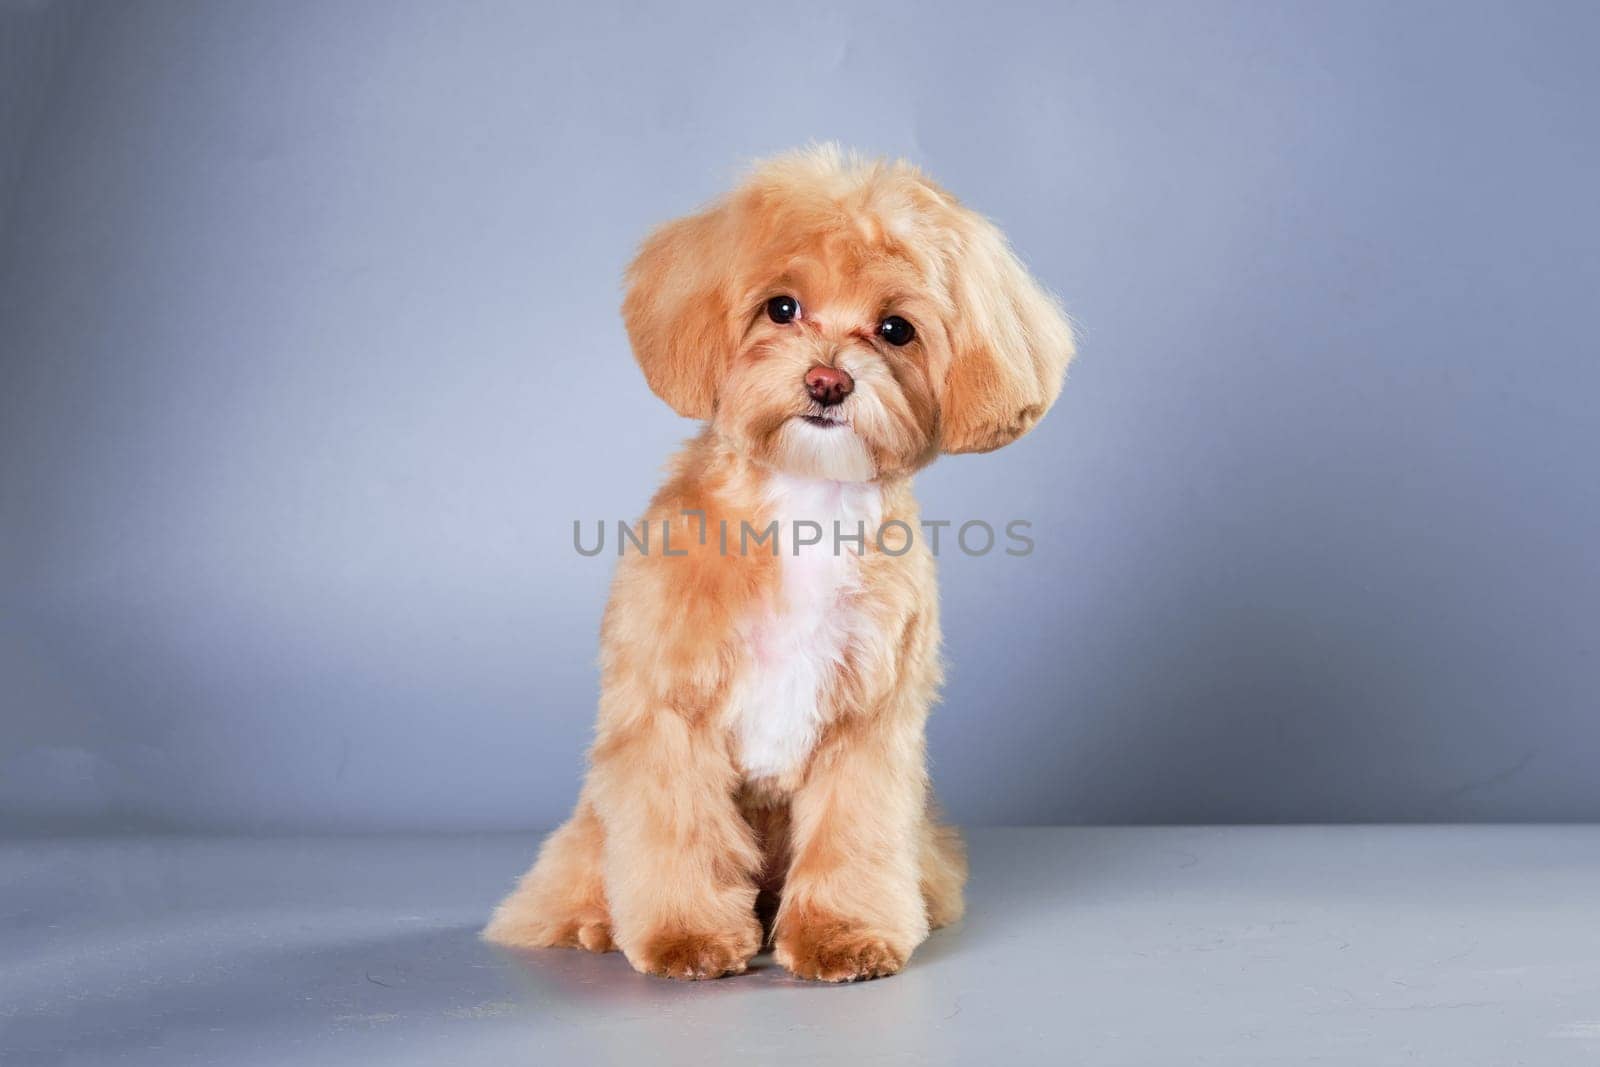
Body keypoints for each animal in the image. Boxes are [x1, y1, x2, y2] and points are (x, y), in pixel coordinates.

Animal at [480, 146, 1068, 979]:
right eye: (781, 308)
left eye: (896, 329)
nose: (828, 381)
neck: (805, 505)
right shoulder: (670, 716)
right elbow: (678, 830)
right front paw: (686, 936)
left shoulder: (867, 727)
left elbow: (853, 832)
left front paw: (843, 932)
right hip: (590, 827)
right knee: (568, 882)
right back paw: (593, 920)